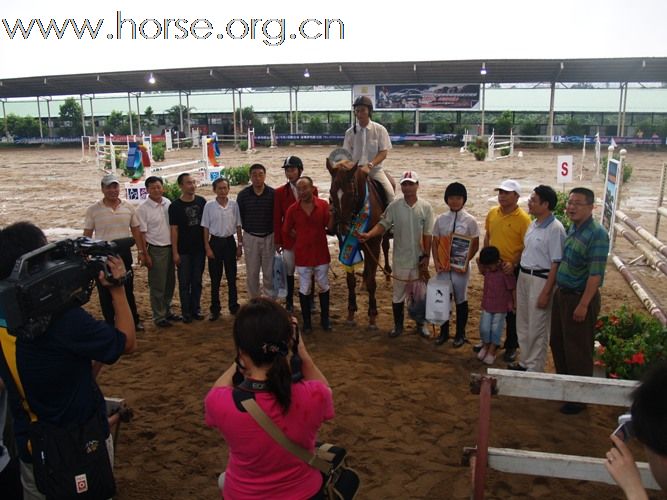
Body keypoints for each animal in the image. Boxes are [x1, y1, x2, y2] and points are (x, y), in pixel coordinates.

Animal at [328, 161, 394, 328]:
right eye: (331, 193)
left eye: (351, 194)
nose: (343, 229)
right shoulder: (345, 245)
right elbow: (350, 280)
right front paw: (351, 312)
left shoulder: (374, 244)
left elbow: (372, 281)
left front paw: (372, 315)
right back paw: (363, 281)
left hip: (383, 237)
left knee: (386, 248)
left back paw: (388, 275)